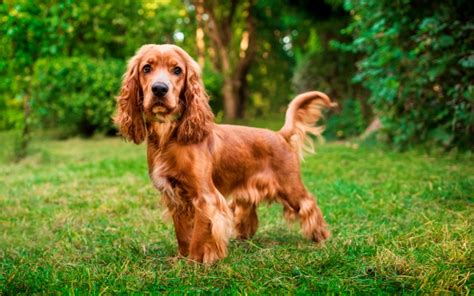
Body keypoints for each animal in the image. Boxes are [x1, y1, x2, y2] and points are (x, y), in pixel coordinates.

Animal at [114, 43, 336, 264]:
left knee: (310, 205)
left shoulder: (206, 199)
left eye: (177, 70)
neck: (169, 135)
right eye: (146, 68)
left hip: (290, 187)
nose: (159, 88)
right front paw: (180, 259)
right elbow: (182, 234)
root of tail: (279, 134)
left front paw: (193, 263)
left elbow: (198, 238)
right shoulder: (175, 198)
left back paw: (322, 239)